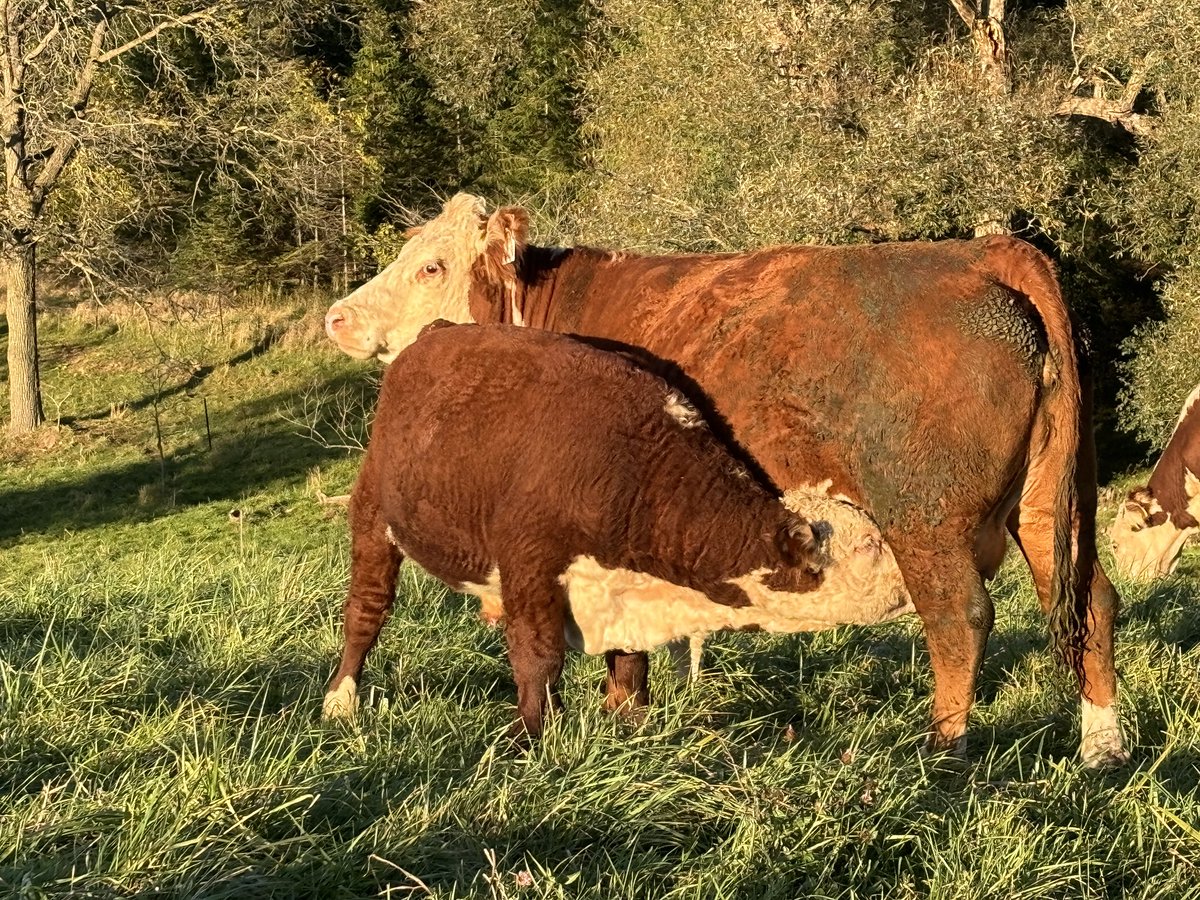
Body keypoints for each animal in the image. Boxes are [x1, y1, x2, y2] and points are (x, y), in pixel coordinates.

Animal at [323, 321, 924, 738]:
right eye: (870, 545)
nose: (911, 585)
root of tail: (437, 333)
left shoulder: (626, 592)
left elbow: (631, 667)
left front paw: (628, 725)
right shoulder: (529, 563)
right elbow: (538, 656)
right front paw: (530, 738)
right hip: (372, 517)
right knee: (365, 612)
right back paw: (340, 699)